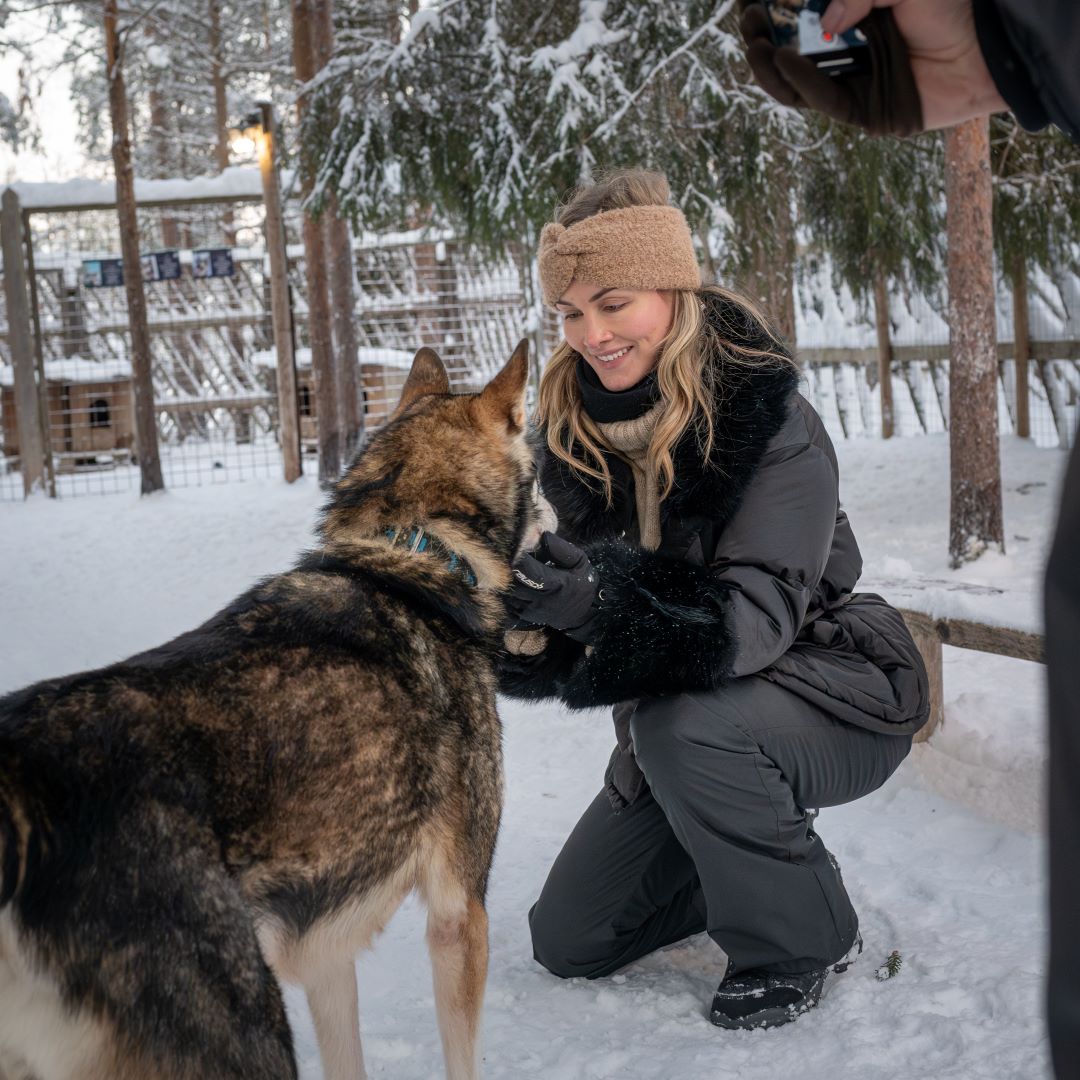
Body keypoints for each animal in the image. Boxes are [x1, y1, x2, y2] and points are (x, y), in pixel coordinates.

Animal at [0, 343, 552, 1080]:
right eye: (540, 468)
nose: (561, 516)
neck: (414, 549)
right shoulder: (459, 911)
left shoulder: (326, 953)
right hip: (248, 1033)